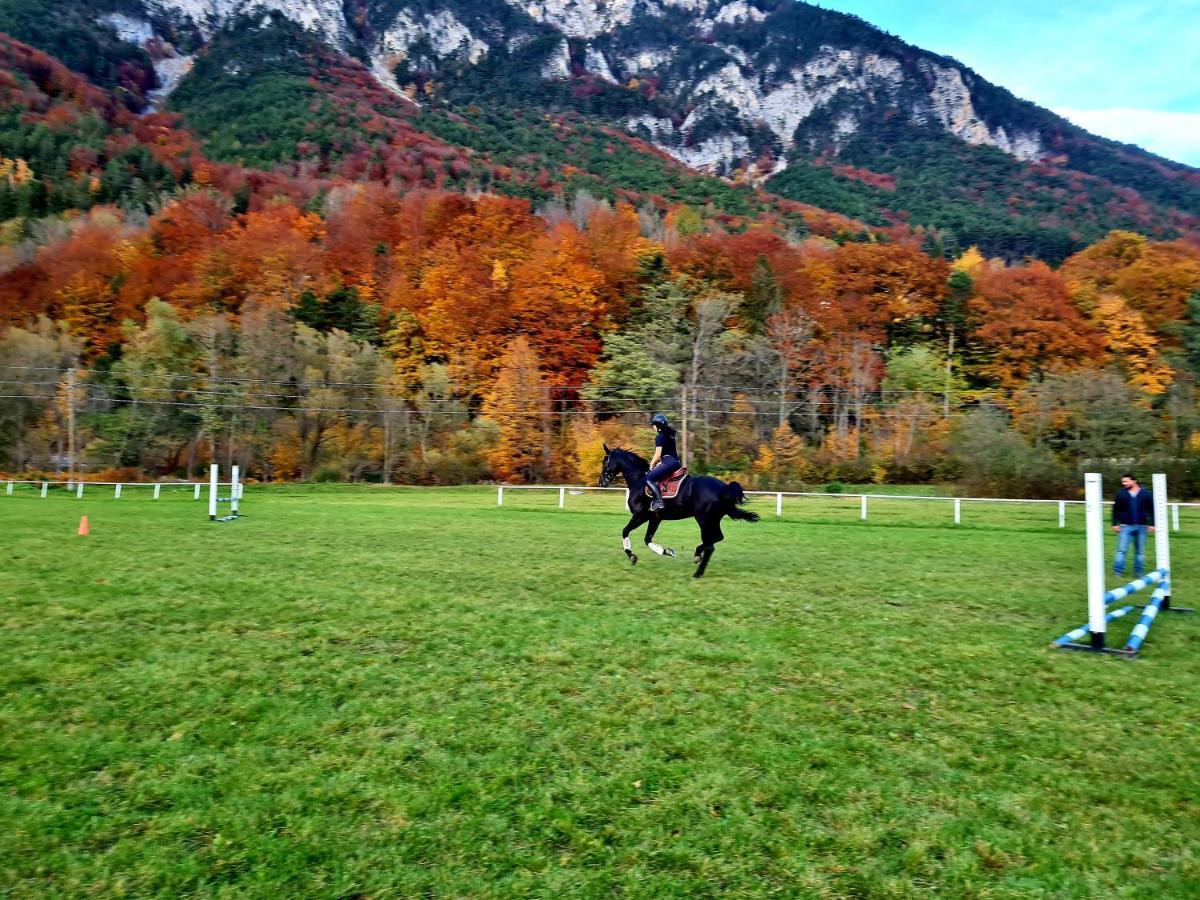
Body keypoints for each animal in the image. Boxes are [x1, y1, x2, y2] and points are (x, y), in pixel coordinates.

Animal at [597, 448, 758, 580]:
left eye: (605, 462)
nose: (601, 482)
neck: (640, 481)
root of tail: (724, 488)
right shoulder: (655, 519)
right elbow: (647, 539)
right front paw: (667, 551)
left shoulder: (640, 516)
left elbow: (625, 531)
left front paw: (631, 555)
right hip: (713, 520)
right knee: (717, 538)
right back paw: (697, 558)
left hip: (704, 520)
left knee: (710, 545)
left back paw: (698, 570)